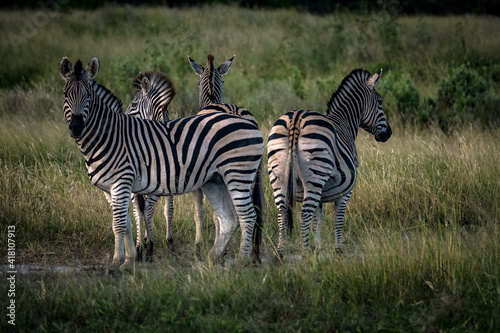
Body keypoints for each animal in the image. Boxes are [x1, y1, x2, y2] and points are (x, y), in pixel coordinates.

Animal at [268, 68, 392, 260]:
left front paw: (317, 248)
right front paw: (337, 250)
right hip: (315, 176)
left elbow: (318, 220)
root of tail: (296, 118)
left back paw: (280, 253)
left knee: (282, 212)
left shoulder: (321, 193)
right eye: (380, 102)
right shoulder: (345, 191)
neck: (345, 123)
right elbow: (337, 219)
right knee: (304, 213)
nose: (388, 133)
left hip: (279, 177)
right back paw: (304, 253)